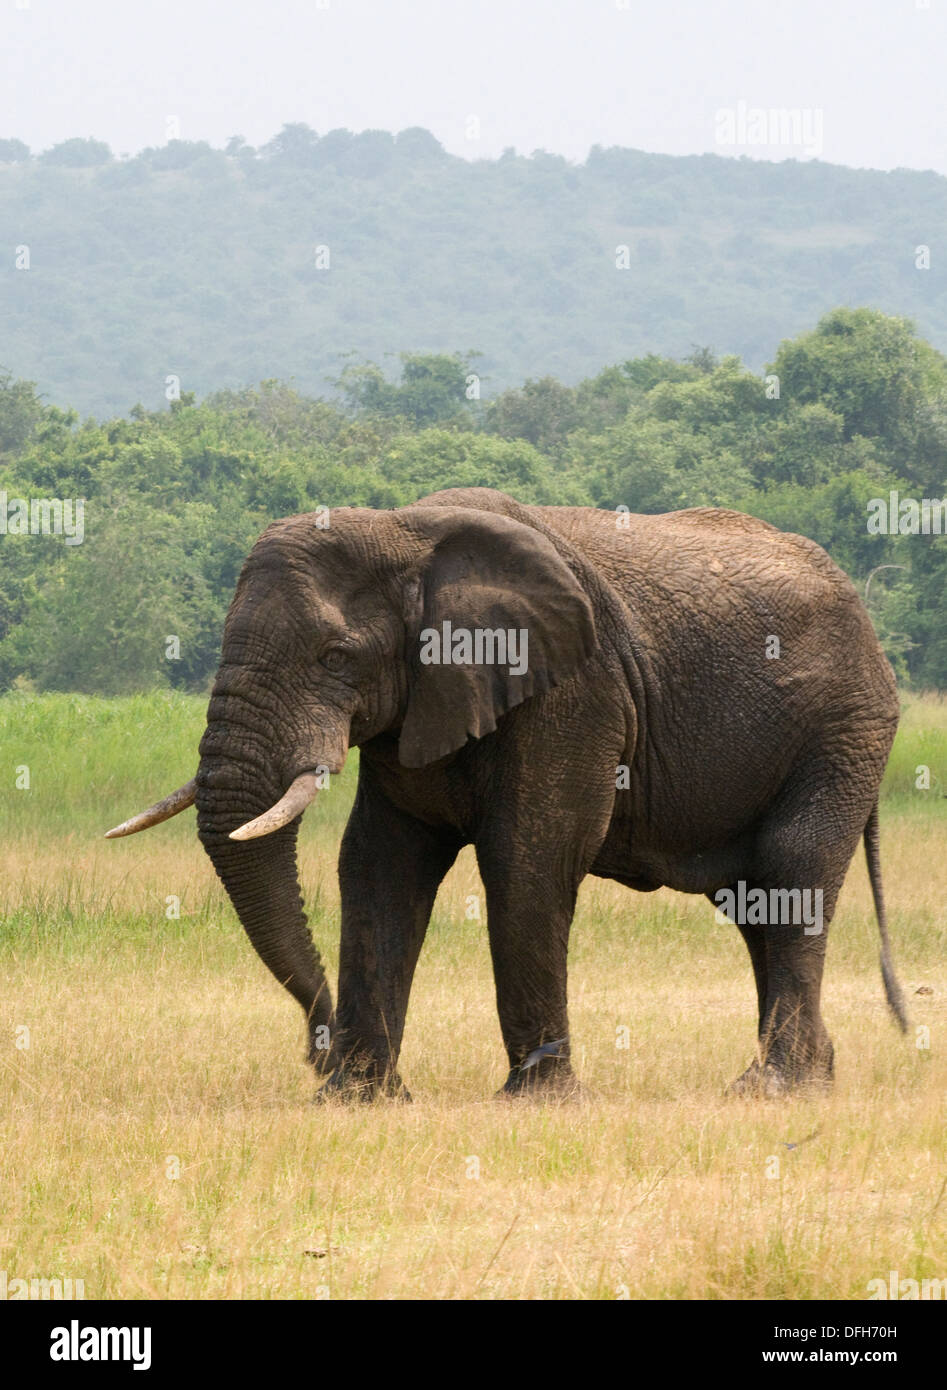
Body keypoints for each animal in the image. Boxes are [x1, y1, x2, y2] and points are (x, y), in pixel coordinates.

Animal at [104, 486, 906, 1095]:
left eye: (336, 656)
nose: (313, 1049)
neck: (405, 529)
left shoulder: (571, 694)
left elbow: (528, 859)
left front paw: (539, 1101)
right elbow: (376, 866)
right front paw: (357, 1098)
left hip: (845, 727)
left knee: (791, 870)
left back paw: (773, 1088)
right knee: (752, 905)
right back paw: (804, 1080)